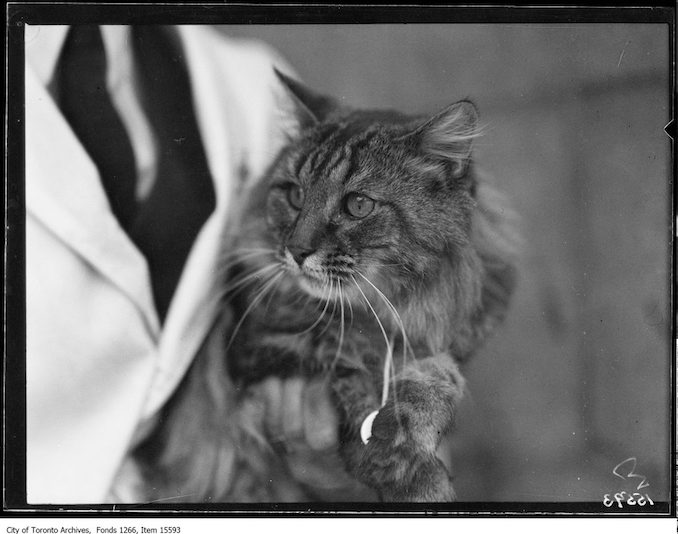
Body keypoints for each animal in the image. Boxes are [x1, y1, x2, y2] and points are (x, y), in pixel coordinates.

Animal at [138, 69, 520, 504]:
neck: (387, 309)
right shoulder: (261, 347)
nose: (296, 250)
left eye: (357, 205)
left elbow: (438, 374)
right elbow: (351, 379)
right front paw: (412, 476)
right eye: (295, 195)